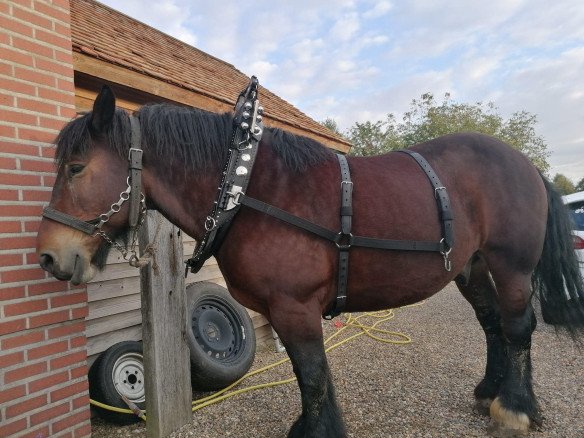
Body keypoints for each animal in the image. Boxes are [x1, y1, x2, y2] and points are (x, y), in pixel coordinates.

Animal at [37, 86, 584, 438]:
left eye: (76, 167)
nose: (48, 255)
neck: (248, 189)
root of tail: (526, 165)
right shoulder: (282, 312)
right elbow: (305, 378)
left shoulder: (295, 308)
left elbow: (315, 374)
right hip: (472, 267)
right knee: (493, 325)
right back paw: (491, 392)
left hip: (511, 265)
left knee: (518, 327)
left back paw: (515, 408)